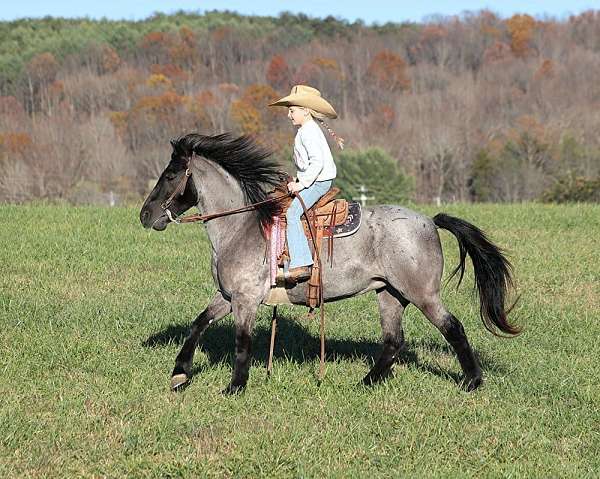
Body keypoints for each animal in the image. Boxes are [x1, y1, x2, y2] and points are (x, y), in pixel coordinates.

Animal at [138, 133, 516, 396]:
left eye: (171, 175)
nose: (145, 215)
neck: (240, 228)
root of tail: (429, 221)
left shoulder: (246, 299)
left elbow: (241, 342)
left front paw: (235, 387)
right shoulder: (229, 296)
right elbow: (199, 323)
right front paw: (180, 373)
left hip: (422, 294)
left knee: (453, 328)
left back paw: (472, 381)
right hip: (389, 294)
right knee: (393, 340)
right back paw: (366, 382)